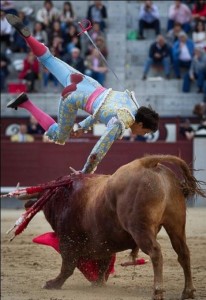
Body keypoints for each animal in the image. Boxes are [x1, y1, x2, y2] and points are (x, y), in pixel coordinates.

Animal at [33, 156, 204, 298]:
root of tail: (146, 163)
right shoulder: (104, 243)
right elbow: (103, 264)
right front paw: (98, 284)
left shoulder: (68, 239)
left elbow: (68, 265)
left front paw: (53, 283)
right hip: (176, 224)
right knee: (183, 252)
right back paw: (188, 292)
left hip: (140, 229)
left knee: (156, 252)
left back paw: (157, 292)